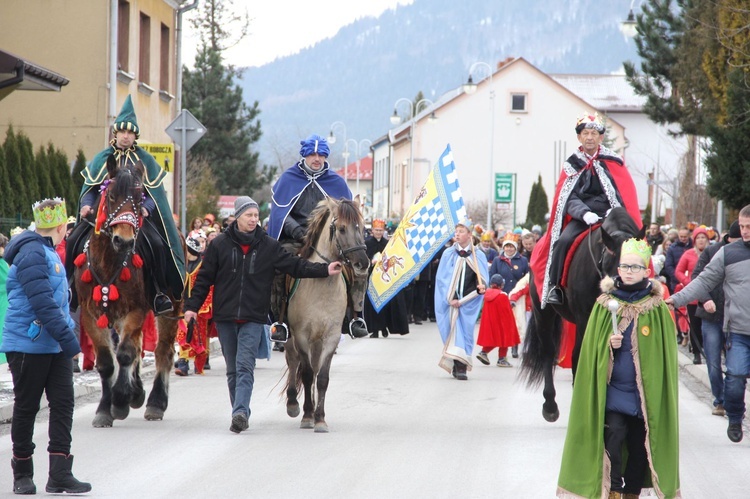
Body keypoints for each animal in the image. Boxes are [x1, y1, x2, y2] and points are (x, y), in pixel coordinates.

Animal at [73, 156, 184, 426]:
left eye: (140, 198)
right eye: (111, 196)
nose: (123, 241)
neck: (109, 261)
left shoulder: (135, 310)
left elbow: (124, 354)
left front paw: (121, 400)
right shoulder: (91, 315)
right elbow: (106, 362)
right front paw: (105, 409)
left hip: (171, 308)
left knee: (162, 352)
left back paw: (155, 403)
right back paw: (138, 392)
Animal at [284, 197, 372, 432]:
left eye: (362, 227)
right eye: (341, 228)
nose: (363, 263)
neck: (321, 281)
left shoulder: (331, 336)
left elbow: (322, 377)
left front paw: (320, 418)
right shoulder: (302, 335)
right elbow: (306, 374)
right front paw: (307, 416)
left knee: (314, 369)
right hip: (291, 337)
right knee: (292, 360)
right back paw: (293, 404)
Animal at [524, 206, 648, 422]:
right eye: (612, 255)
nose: (622, 283)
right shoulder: (584, 319)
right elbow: (581, 355)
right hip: (543, 314)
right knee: (549, 352)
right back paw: (550, 406)